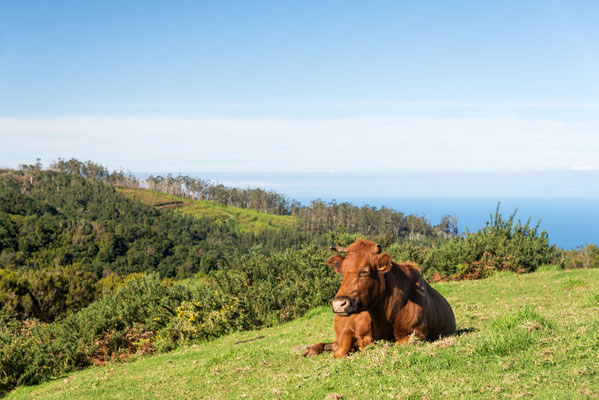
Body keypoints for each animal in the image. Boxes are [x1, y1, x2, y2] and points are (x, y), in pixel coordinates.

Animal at [304, 239, 454, 358]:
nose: (338, 303)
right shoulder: (348, 329)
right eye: (343, 271)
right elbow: (340, 352)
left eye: (365, 271)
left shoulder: (418, 334)